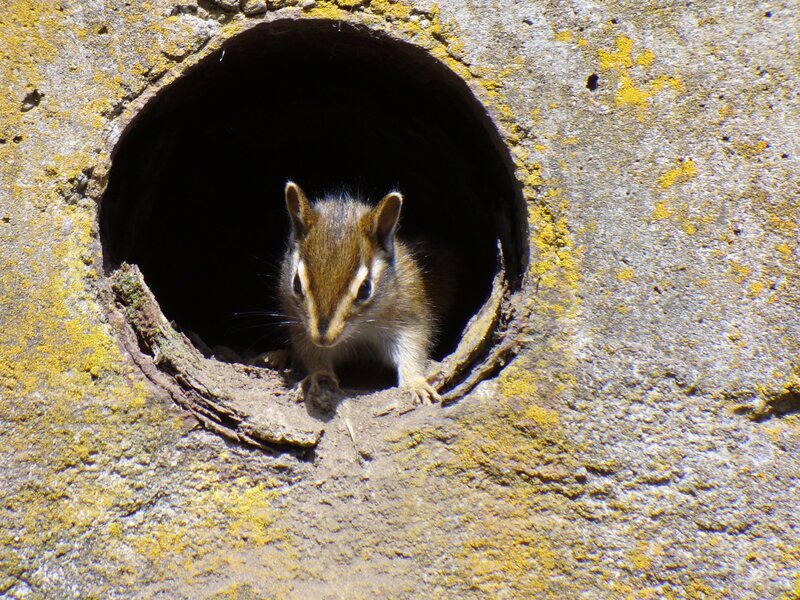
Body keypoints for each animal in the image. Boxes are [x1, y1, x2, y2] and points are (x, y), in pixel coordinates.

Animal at [278, 181, 441, 405]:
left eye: (365, 289)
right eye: (296, 284)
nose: (323, 339)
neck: (359, 330)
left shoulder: (409, 312)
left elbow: (412, 348)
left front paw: (416, 382)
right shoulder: (300, 326)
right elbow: (312, 353)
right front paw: (318, 375)